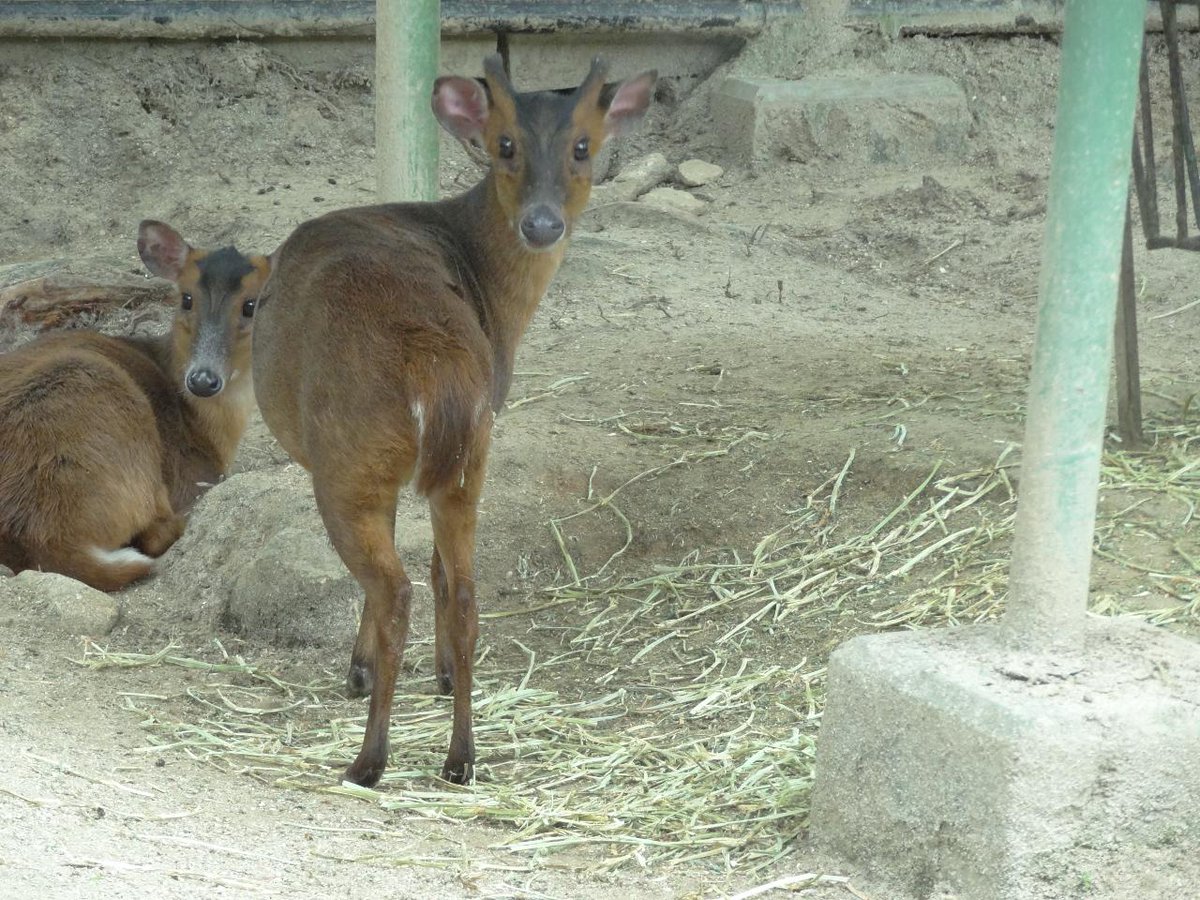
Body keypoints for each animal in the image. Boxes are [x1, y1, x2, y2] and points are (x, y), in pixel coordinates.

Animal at [252, 58, 657, 787]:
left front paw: (359, 671)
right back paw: (461, 756)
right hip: (469, 456)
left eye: (582, 147)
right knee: (465, 593)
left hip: (348, 462)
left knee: (396, 590)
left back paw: (369, 760)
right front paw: (435, 675)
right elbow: (443, 571)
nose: (542, 223)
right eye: (506, 146)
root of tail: (431, 364)